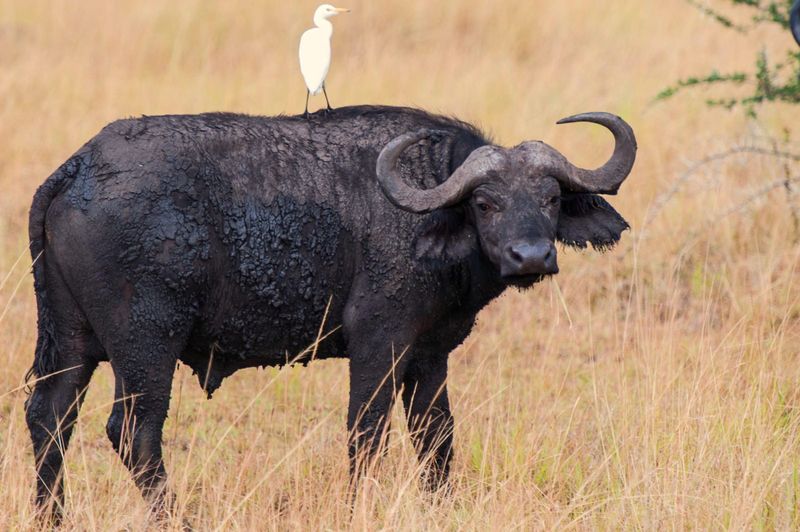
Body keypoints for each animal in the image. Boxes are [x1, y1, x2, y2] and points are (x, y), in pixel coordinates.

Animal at [25, 105, 636, 521]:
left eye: (551, 199)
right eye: (485, 204)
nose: (530, 256)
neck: (425, 209)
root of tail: (78, 168)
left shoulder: (430, 355)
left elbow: (436, 437)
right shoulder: (379, 343)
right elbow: (366, 432)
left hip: (69, 342)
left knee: (48, 418)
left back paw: (50, 517)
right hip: (147, 344)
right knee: (134, 432)